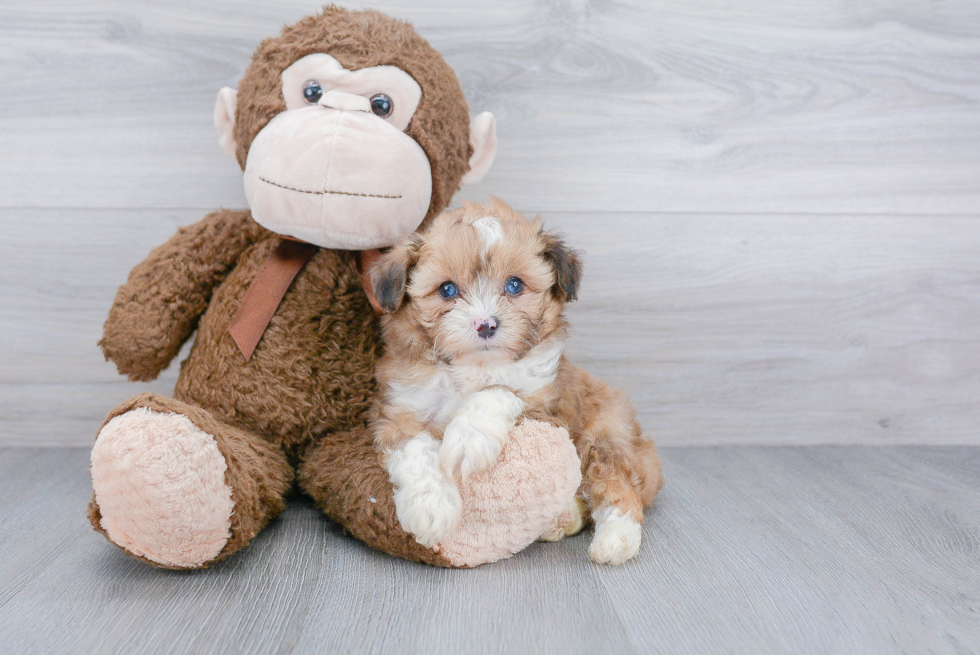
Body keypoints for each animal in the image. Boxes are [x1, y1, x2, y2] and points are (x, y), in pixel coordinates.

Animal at [372, 199, 664, 564]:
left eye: (514, 285)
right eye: (447, 290)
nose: (485, 325)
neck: (474, 366)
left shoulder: (548, 404)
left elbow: (498, 390)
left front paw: (468, 440)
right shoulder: (400, 410)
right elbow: (413, 447)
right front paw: (430, 507)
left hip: (604, 436)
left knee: (616, 483)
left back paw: (616, 539)